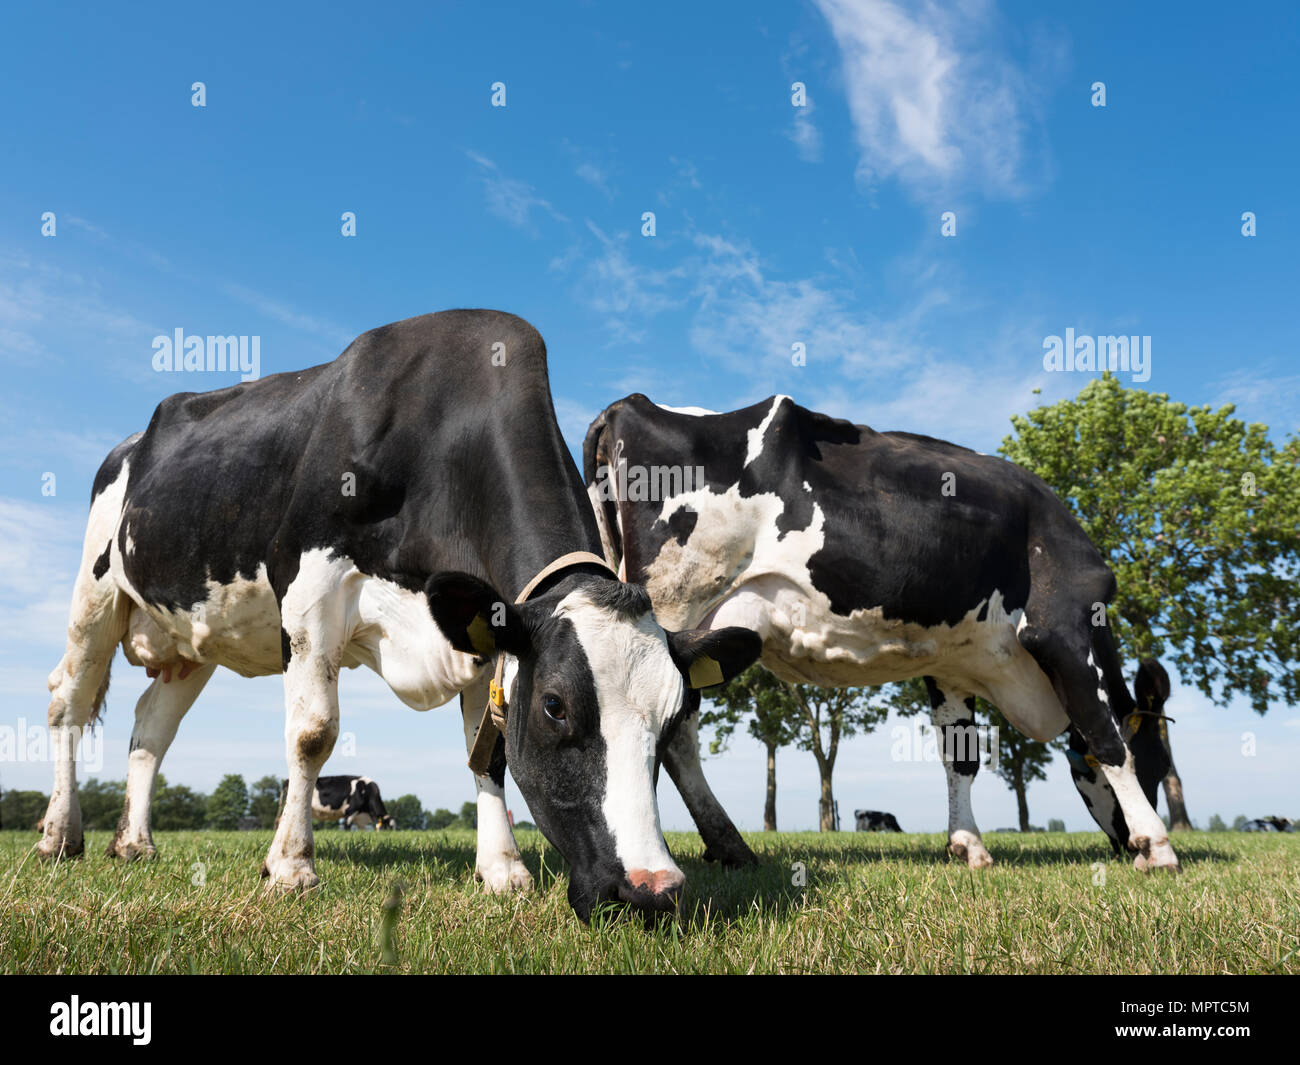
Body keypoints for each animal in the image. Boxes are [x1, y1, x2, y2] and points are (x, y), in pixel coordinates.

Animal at [35, 310, 761, 921]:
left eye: (675, 717)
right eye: (555, 705)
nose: (652, 889)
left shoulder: (479, 626)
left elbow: (487, 749)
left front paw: (502, 870)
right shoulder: (311, 583)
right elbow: (313, 734)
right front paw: (290, 867)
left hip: (191, 638)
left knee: (150, 729)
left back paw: (134, 842)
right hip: (96, 593)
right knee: (67, 700)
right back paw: (59, 835)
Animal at [584, 393, 1178, 872]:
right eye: (1159, 762)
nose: (1121, 842)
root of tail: (627, 404)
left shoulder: (953, 664)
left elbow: (960, 759)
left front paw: (967, 845)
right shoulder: (1064, 626)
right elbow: (1107, 735)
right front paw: (1157, 846)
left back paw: (727, 846)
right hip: (674, 603)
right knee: (673, 727)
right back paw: (715, 844)